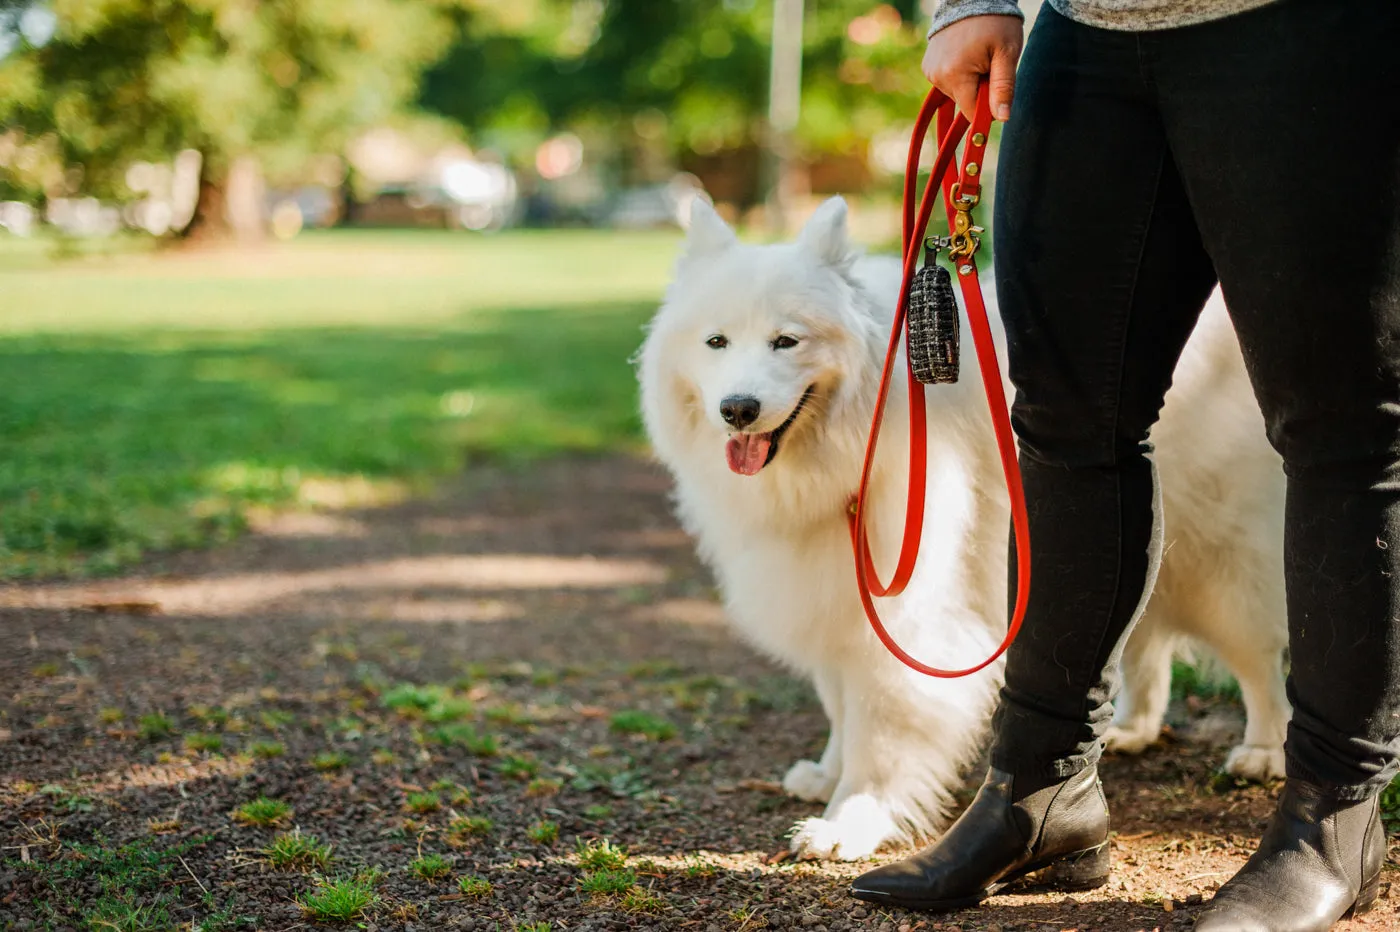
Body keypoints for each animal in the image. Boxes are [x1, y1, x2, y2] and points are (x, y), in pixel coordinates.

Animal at [635, 195, 1288, 856]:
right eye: (716, 341)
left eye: (786, 341)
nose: (737, 409)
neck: (850, 446)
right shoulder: (831, 596)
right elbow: (841, 706)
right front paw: (826, 773)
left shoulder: (903, 620)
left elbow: (879, 731)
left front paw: (851, 819)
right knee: (1142, 642)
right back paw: (1132, 727)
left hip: (1220, 564)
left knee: (1259, 659)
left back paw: (1263, 751)